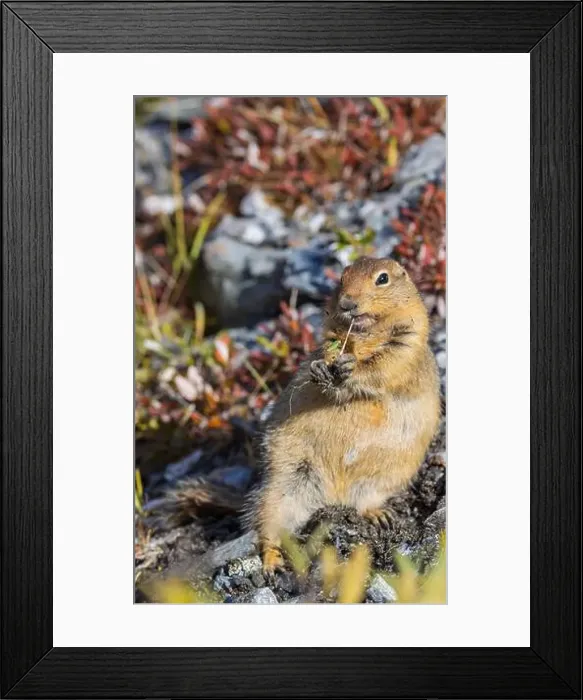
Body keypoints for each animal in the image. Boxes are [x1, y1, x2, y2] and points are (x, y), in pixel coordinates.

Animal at [168, 256, 440, 575]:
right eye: (341, 278)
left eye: (382, 279)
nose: (347, 303)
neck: (365, 332)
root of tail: (335, 496)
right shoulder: (330, 337)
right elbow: (325, 354)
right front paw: (322, 367)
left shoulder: (408, 343)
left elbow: (384, 365)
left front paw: (349, 368)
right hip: (283, 487)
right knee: (267, 529)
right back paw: (272, 563)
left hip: (381, 480)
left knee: (364, 502)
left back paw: (380, 515)